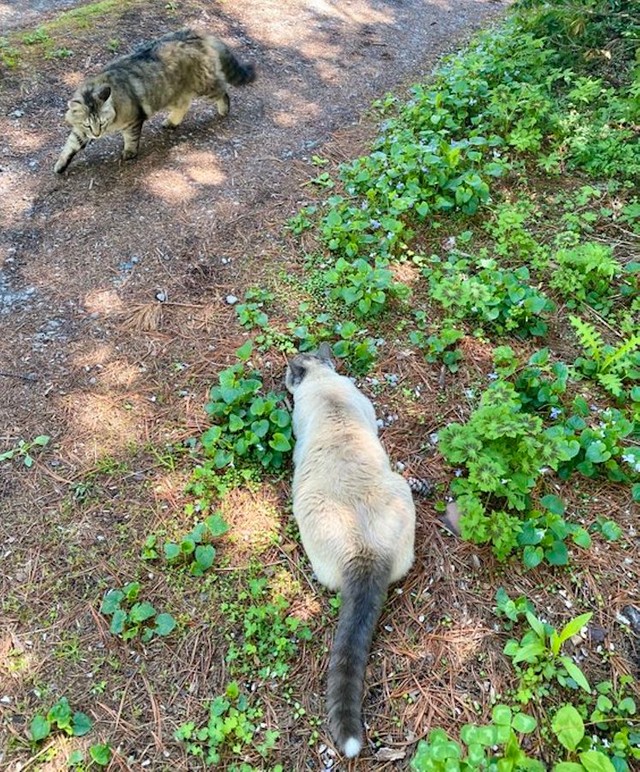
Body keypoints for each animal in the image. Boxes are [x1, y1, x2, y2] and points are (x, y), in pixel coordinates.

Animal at [54, 28, 255, 173]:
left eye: (102, 123)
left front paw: (129, 153)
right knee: (184, 105)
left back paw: (224, 110)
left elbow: (131, 139)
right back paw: (172, 122)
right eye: (89, 125)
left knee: (223, 90)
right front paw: (60, 164)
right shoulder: (80, 130)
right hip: (173, 92)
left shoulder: (133, 120)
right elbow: (70, 146)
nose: (96, 135)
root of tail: (195, 33)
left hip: (204, 86)